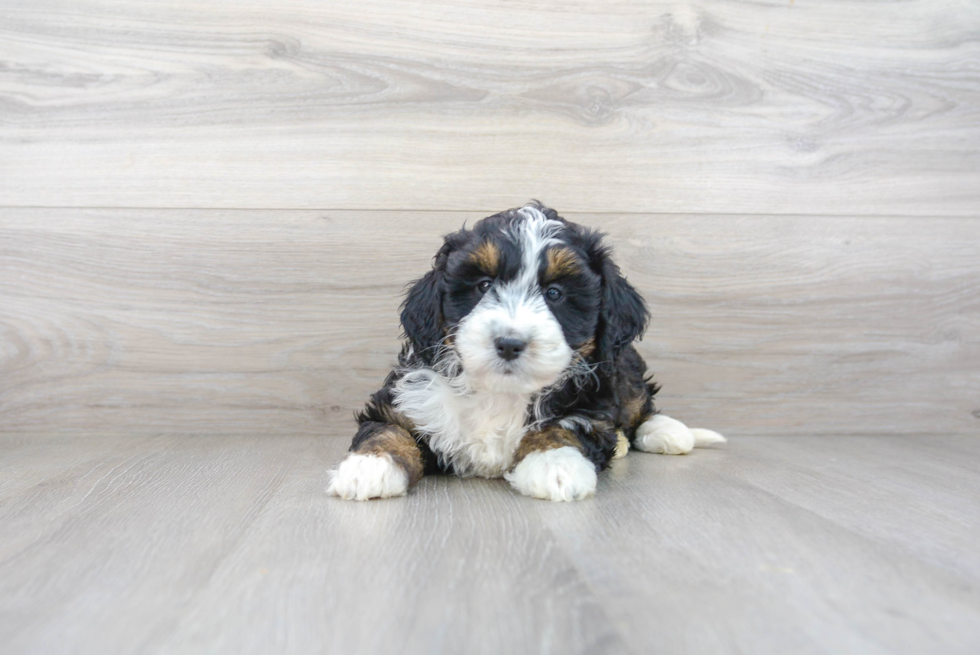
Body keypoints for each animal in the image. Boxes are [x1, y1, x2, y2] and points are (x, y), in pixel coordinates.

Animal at [326, 204, 724, 502]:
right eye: (483, 285)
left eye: (555, 293)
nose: (509, 343)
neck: (499, 392)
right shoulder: (405, 398)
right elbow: (387, 429)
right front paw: (370, 466)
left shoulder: (591, 407)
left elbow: (563, 426)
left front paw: (555, 463)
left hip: (623, 363)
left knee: (639, 401)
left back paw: (667, 431)